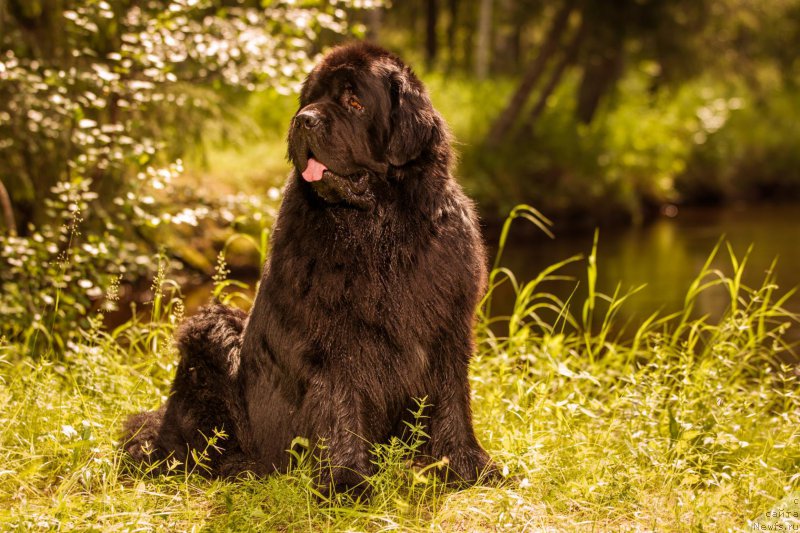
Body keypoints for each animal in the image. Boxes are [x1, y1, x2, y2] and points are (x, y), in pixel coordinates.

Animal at [123, 40, 494, 490]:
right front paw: (348, 482)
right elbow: (340, 405)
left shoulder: (449, 327)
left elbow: (452, 397)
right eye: (311, 99)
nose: (304, 120)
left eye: (354, 102)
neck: (379, 230)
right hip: (212, 333)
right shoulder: (330, 339)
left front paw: (466, 465)